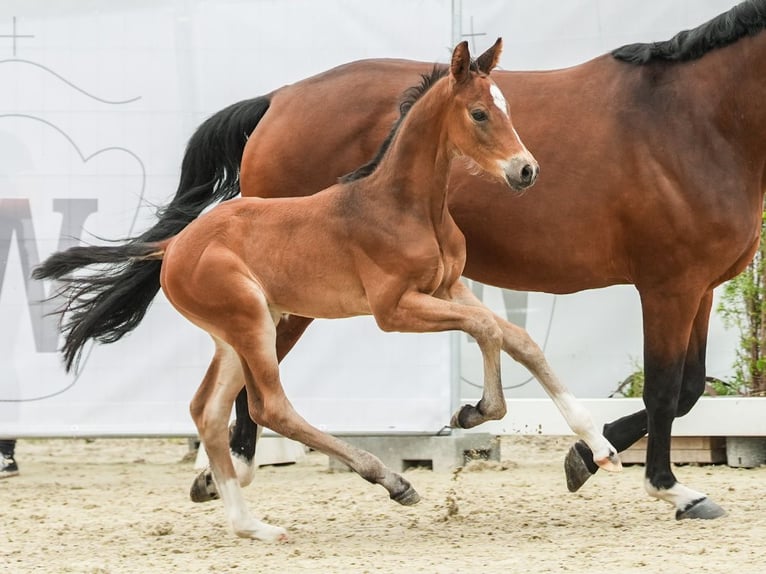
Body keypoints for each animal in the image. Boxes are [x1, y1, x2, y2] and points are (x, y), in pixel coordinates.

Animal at [34, 42, 624, 544]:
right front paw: (475, 412)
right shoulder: (394, 309)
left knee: (207, 410)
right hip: (251, 322)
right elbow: (486, 332)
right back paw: (389, 480)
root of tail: (174, 245)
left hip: (239, 332)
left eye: (506, 107)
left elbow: (519, 340)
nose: (526, 170)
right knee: (269, 405)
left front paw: (599, 448)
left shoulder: (449, 285)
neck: (405, 205)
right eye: (479, 113)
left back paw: (250, 524)